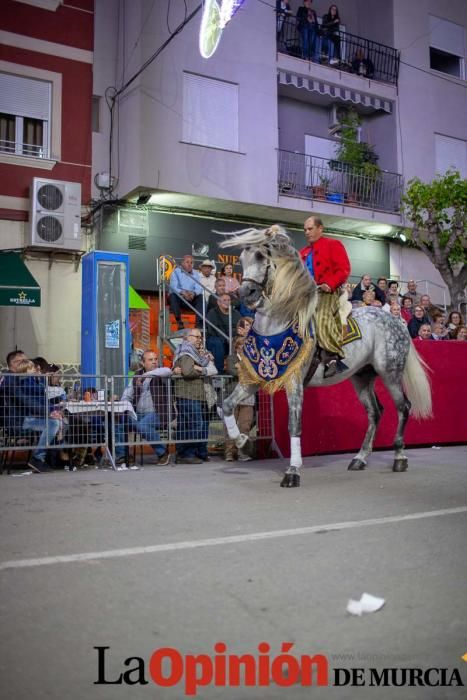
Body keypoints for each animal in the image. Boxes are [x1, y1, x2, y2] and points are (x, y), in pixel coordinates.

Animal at [221, 224, 434, 486]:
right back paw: (360, 458)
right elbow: (226, 405)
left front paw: (293, 471)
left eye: (261, 257)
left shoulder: (294, 382)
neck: (277, 322)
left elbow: (294, 425)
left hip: (390, 373)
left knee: (403, 406)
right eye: (242, 259)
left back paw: (399, 457)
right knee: (375, 412)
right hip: (362, 377)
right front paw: (242, 440)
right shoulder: (254, 380)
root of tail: (396, 320)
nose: (245, 292)